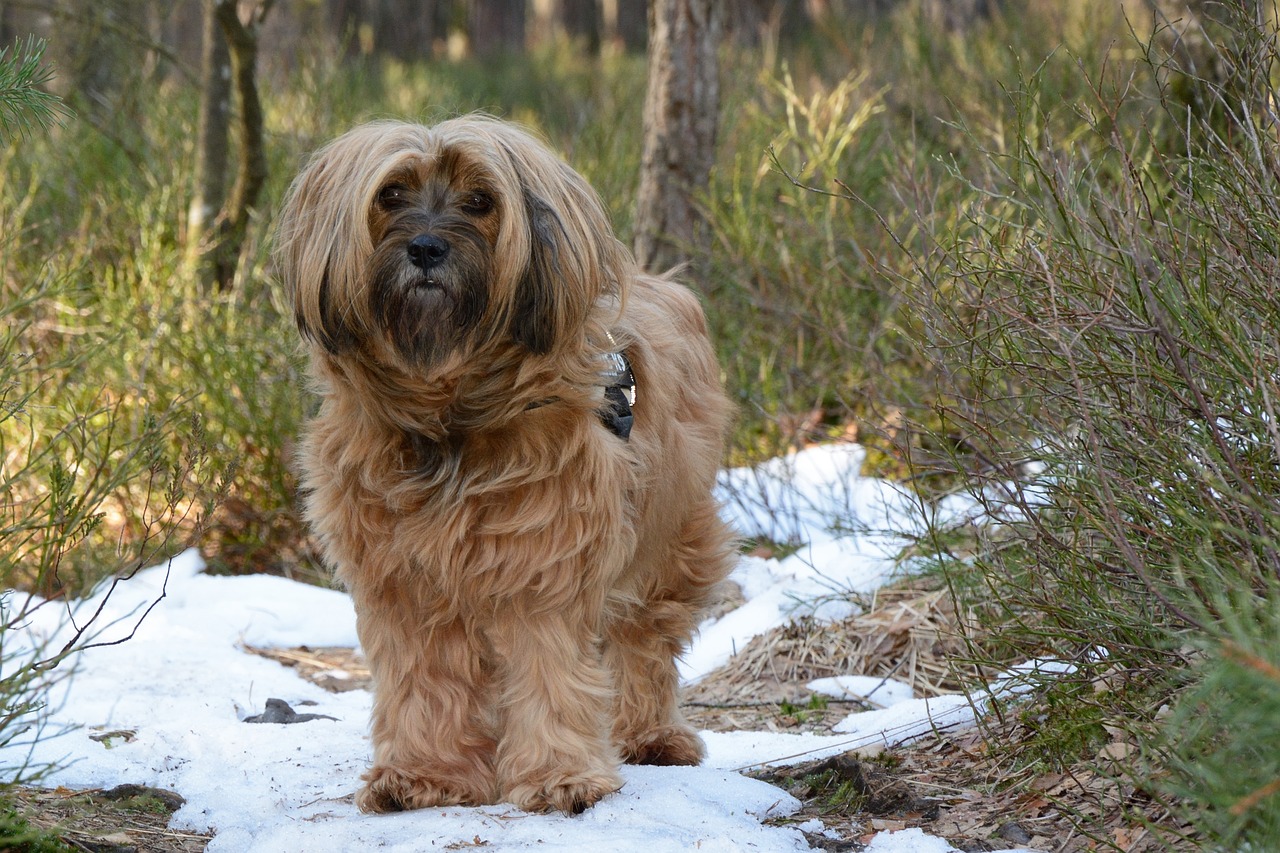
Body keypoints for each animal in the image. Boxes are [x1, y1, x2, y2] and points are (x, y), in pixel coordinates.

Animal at [275, 116, 737, 814]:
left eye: (480, 201)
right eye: (390, 195)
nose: (427, 249)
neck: (454, 419)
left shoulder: (543, 560)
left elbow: (550, 666)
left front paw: (558, 776)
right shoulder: (406, 579)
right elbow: (425, 678)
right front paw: (425, 775)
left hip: (669, 542)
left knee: (644, 642)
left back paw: (652, 735)